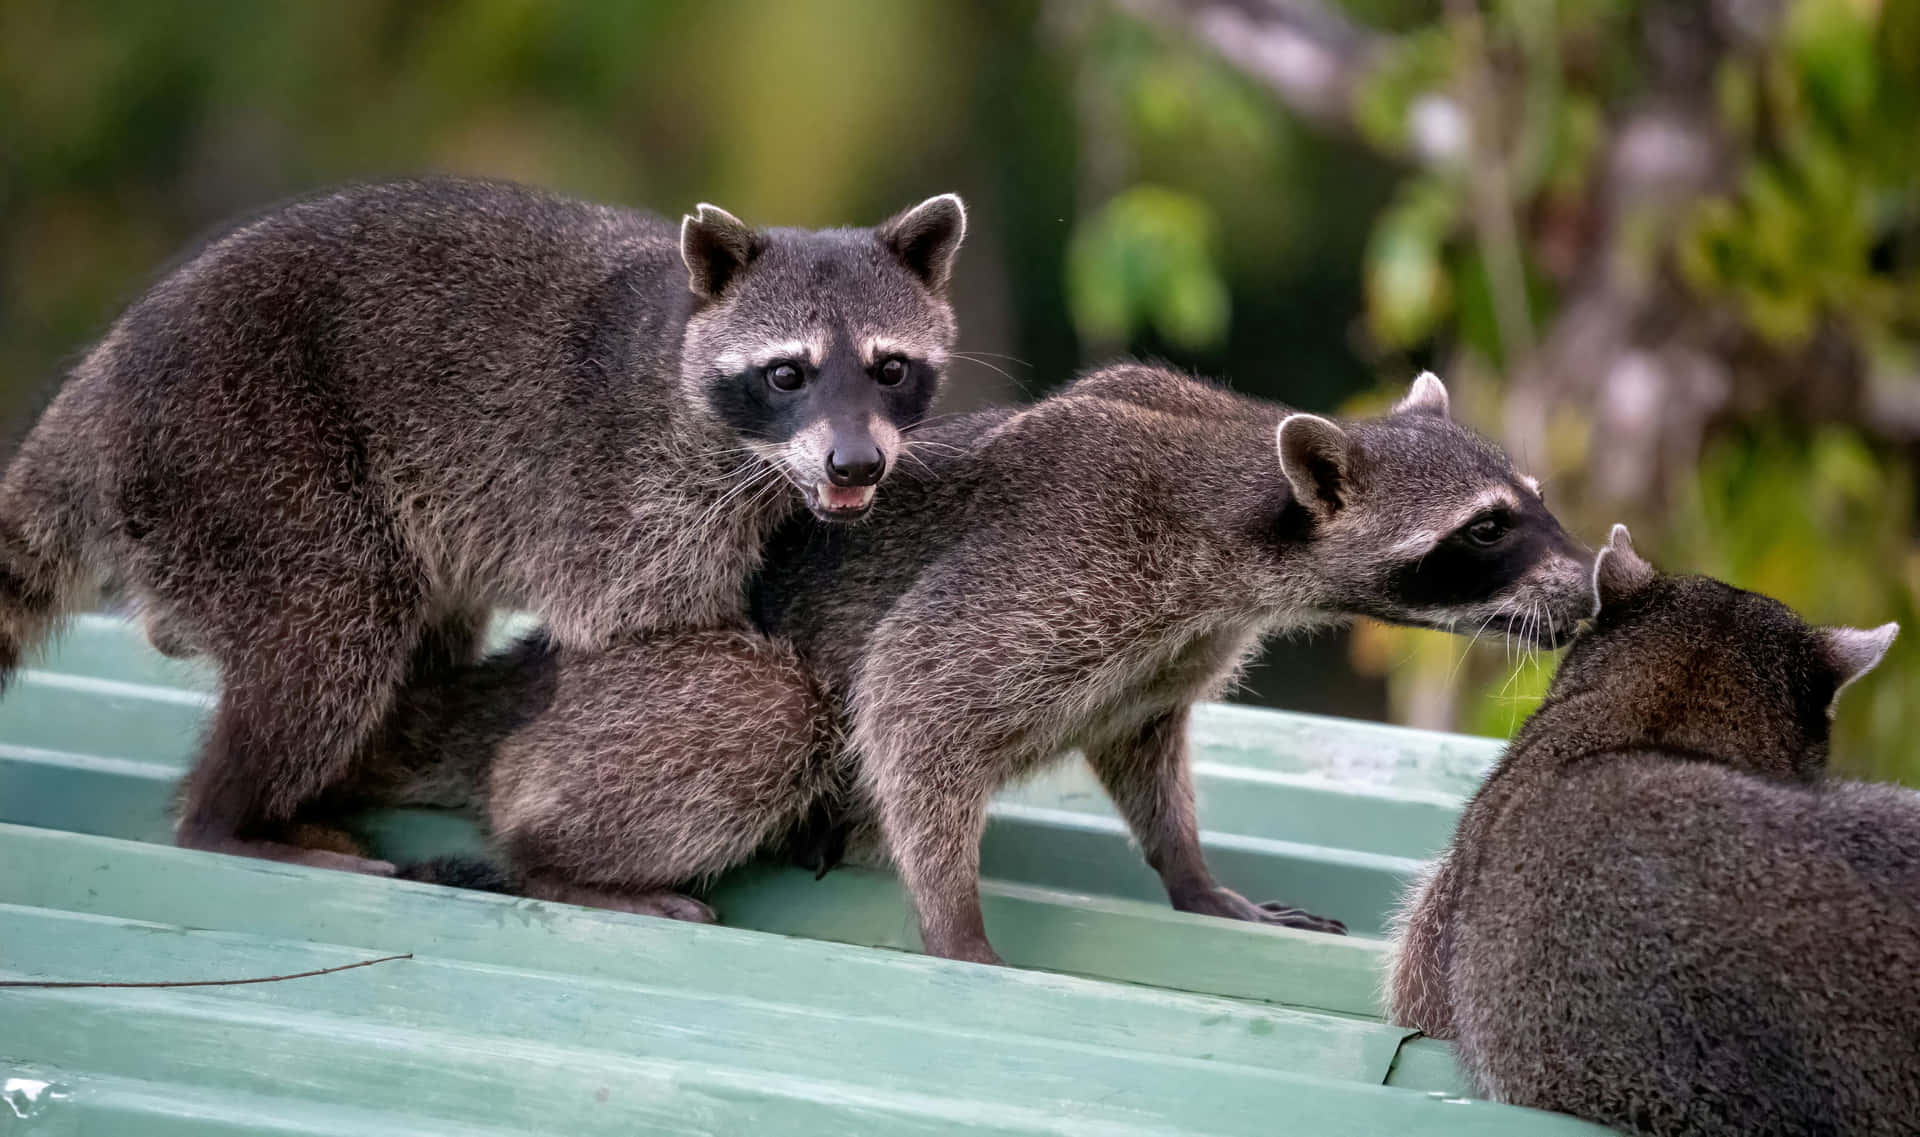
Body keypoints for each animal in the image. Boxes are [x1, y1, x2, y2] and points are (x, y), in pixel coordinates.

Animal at [0, 175, 960, 871]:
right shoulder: (627, 491)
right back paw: (229, 815)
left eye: (890, 368)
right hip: (245, 451)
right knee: (334, 622)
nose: (855, 464)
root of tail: (100, 389)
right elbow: (635, 626)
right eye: (788, 374)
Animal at [341, 361, 1589, 960]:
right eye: (1487, 529)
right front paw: (957, 924)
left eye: (1533, 500)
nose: (1591, 586)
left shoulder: (1167, 644)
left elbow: (1145, 748)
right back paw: (552, 851)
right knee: (771, 712)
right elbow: (911, 699)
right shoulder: (1070, 562)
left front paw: (1189, 872)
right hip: (631, 691)